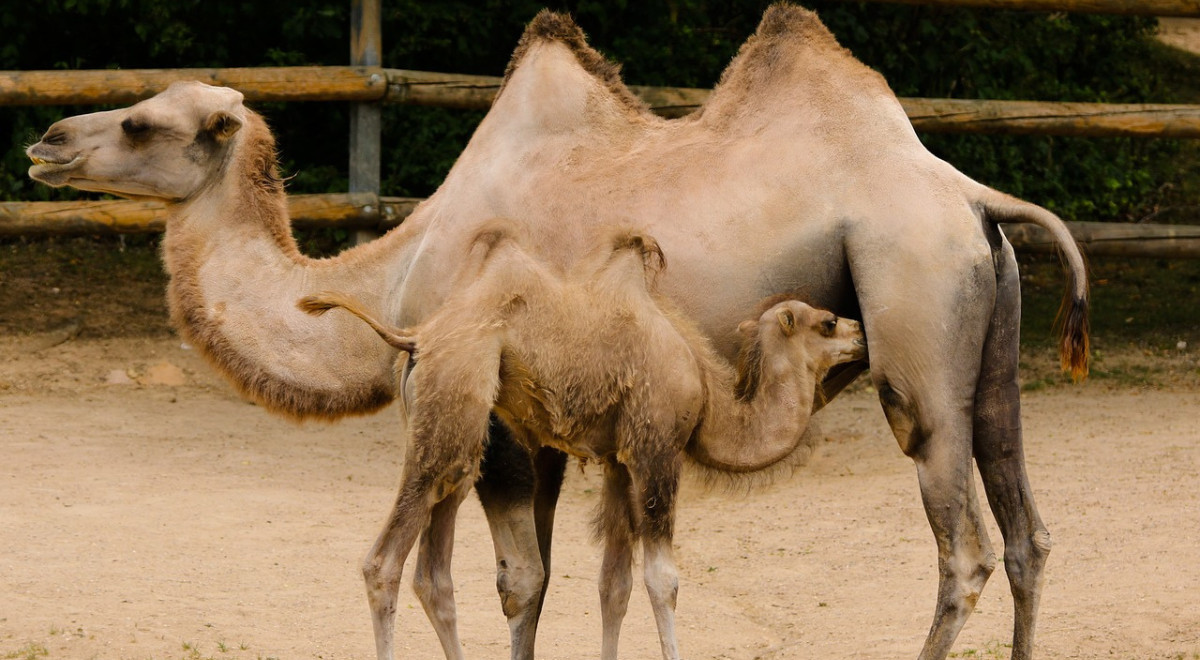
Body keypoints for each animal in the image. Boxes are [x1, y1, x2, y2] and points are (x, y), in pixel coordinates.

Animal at [300, 225, 864, 657]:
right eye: (826, 321)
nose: (861, 332)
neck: (705, 395)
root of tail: (417, 337)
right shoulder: (657, 451)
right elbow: (663, 579)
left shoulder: (618, 462)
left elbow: (613, 585)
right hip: (452, 410)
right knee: (383, 563)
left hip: (458, 436)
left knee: (434, 573)